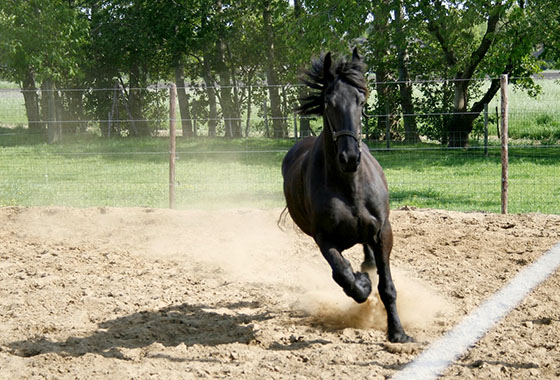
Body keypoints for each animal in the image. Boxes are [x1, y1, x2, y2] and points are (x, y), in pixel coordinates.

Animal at [282, 49, 414, 342]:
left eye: (361, 100)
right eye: (328, 103)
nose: (350, 157)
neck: (349, 186)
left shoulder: (382, 232)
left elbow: (387, 287)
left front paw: (398, 334)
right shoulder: (324, 239)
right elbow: (342, 274)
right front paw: (361, 284)